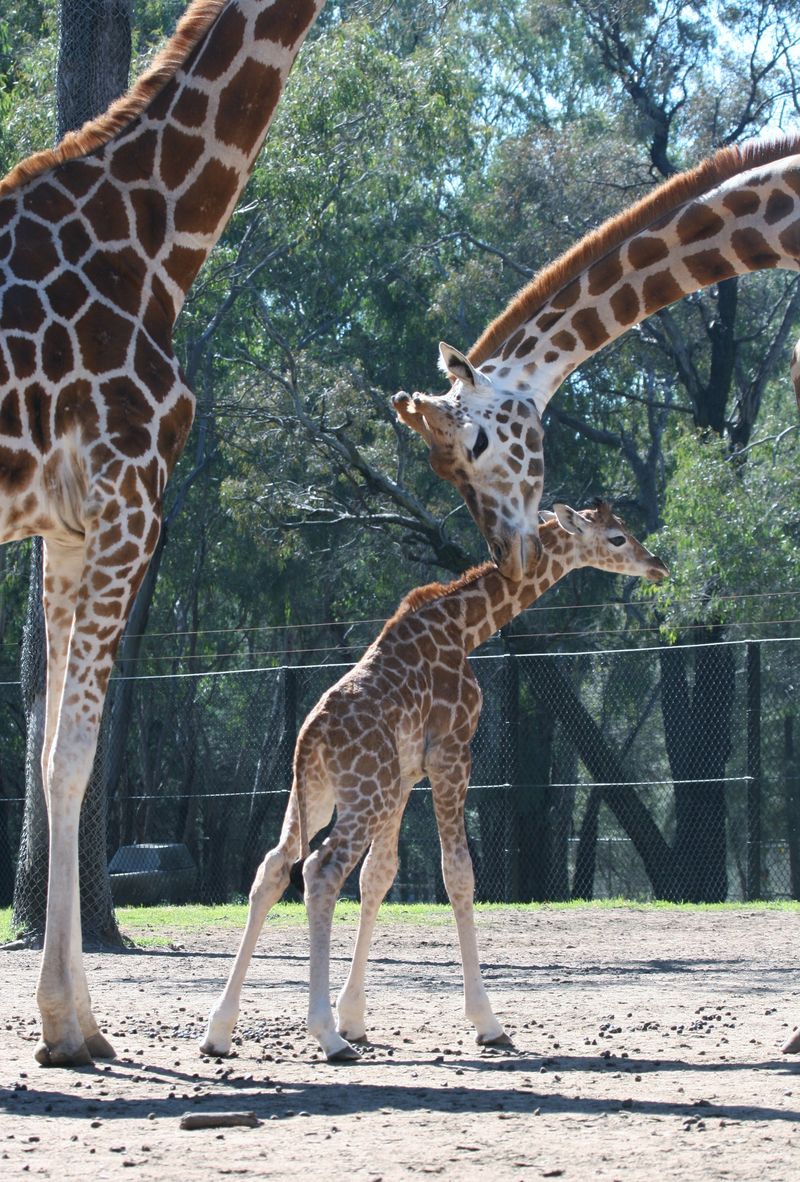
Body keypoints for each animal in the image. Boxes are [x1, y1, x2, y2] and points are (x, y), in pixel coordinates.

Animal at [0, 0, 325, 1067]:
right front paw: (66, 1029)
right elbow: (72, 760)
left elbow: (45, 755)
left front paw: (75, 1021)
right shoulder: (129, 493)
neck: (155, 236)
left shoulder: (65, 527)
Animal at [201, 501, 667, 1062]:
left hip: (319, 794)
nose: (658, 566)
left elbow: (379, 876)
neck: (465, 626)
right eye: (617, 537)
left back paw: (220, 1030)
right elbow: (457, 873)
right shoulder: (450, 752)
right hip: (365, 794)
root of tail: (309, 738)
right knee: (320, 870)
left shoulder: (406, 774)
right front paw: (487, 1022)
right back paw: (326, 1036)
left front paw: (356, 1017)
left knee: (273, 867)